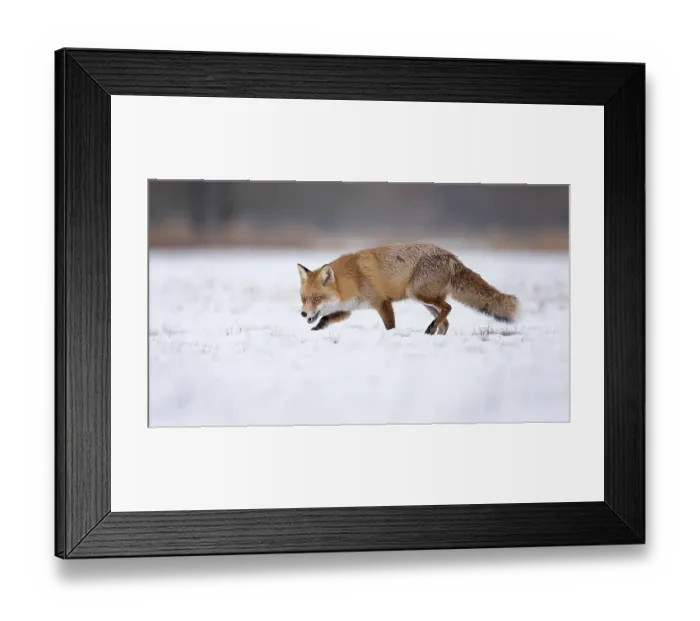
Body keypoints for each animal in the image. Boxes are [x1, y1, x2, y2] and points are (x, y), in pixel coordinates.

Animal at [297, 243, 518, 335]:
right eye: (303, 299)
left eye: (316, 298)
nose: (303, 314)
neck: (352, 278)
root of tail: (451, 256)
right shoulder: (350, 309)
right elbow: (326, 318)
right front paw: (316, 329)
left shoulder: (382, 302)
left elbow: (390, 326)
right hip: (425, 301)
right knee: (445, 321)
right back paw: (434, 333)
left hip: (418, 294)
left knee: (448, 309)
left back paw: (431, 329)